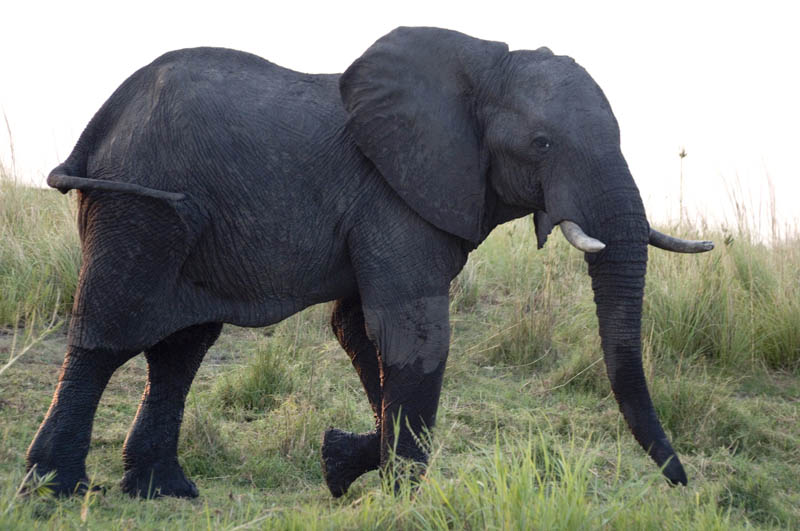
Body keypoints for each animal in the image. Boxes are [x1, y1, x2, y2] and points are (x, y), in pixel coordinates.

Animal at [26, 26, 712, 498]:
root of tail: (98, 124)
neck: (482, 63)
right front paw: (398, 490)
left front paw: (343, 462)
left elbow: (357, 330)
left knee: (180, 350)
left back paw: (166, 492)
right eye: (543, 144)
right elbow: (413, 334)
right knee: (108, 333)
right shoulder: (391, 195)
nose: (683, 484)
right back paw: (57, 489)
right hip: (140, 208)